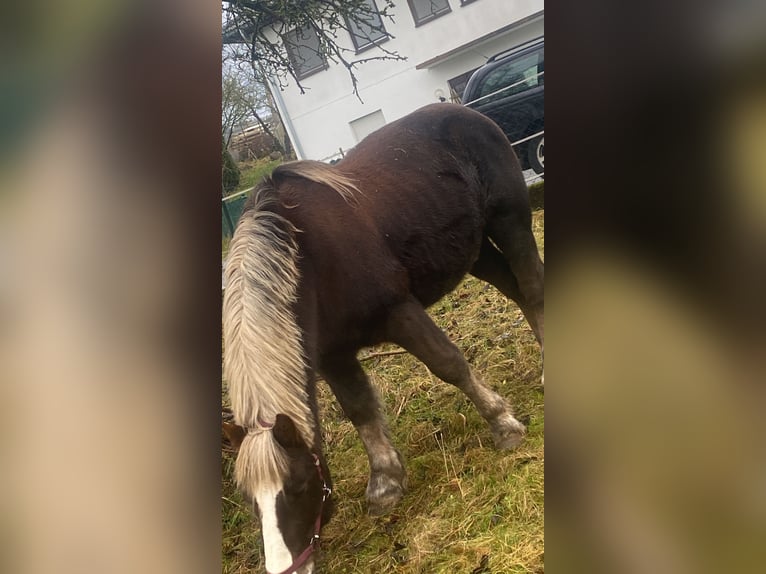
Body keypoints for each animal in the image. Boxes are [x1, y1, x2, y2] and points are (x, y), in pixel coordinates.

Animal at [222, 103, 544, 574]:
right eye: (250, 500)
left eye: (297, 485)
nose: (287, 569)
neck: (306, 257)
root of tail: (462, 109)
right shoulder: (334, 356)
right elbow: (359, 410)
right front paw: (386, 482)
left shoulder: (400, 312)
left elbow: (449, 364)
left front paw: (503, 424)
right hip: (477, 251)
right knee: (519, 291)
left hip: (511, 223)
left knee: (532, 286)